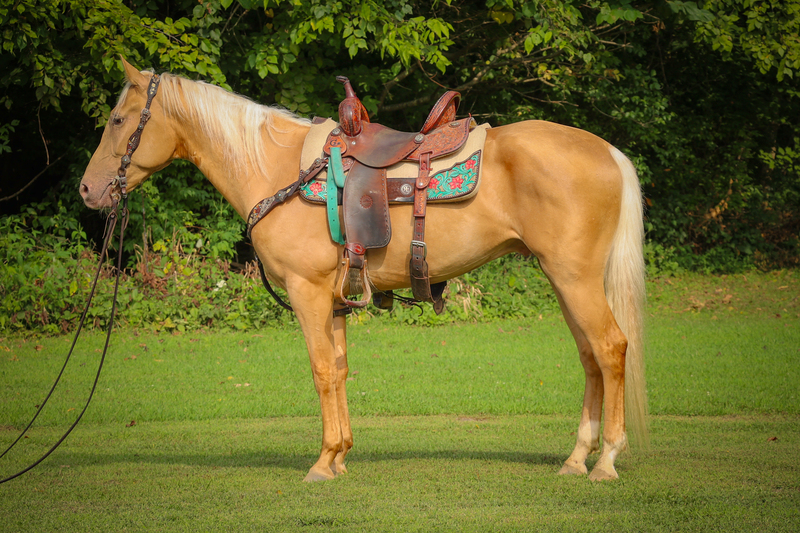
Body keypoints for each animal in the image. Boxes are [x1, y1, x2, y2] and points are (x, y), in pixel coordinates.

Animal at [79, 59, 648, 482]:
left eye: (118, 120)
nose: (87, 189)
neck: (278, 169)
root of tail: (607, 150)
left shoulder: (306, 293)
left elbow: (320, 369)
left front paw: (321, 463)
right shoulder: (333, 301)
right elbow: (340, 369)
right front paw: (339, 456)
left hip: (575, 279)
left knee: (611, 348)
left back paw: (606, 460)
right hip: (563, 279)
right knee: (590, 357)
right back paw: (576, 459)